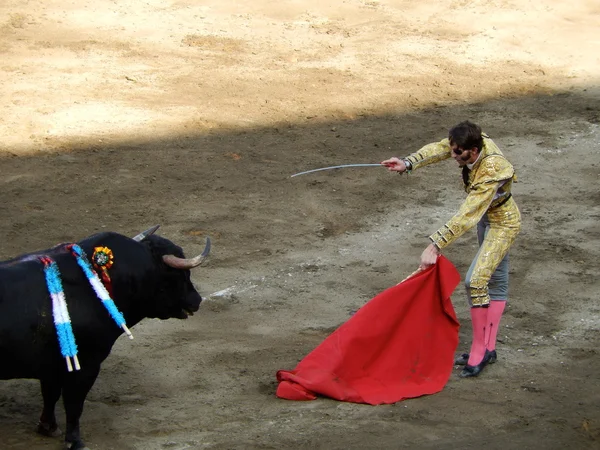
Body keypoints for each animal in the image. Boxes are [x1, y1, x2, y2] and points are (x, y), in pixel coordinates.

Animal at [0, 229, 211, 450]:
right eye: (178, 274)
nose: (196, 300)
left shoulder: (54, 365)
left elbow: (50, 394)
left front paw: (48, 427)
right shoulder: (86, 365)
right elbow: (74, 403)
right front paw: (75, 441)